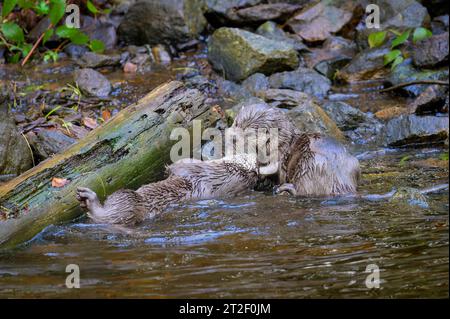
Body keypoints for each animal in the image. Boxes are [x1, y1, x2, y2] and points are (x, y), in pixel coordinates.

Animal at [76, 154, 258, 225]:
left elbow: (178, 164)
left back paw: (88, 199)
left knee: (103, 216)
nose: (255, 157)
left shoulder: (194, 168)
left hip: (126, 198)